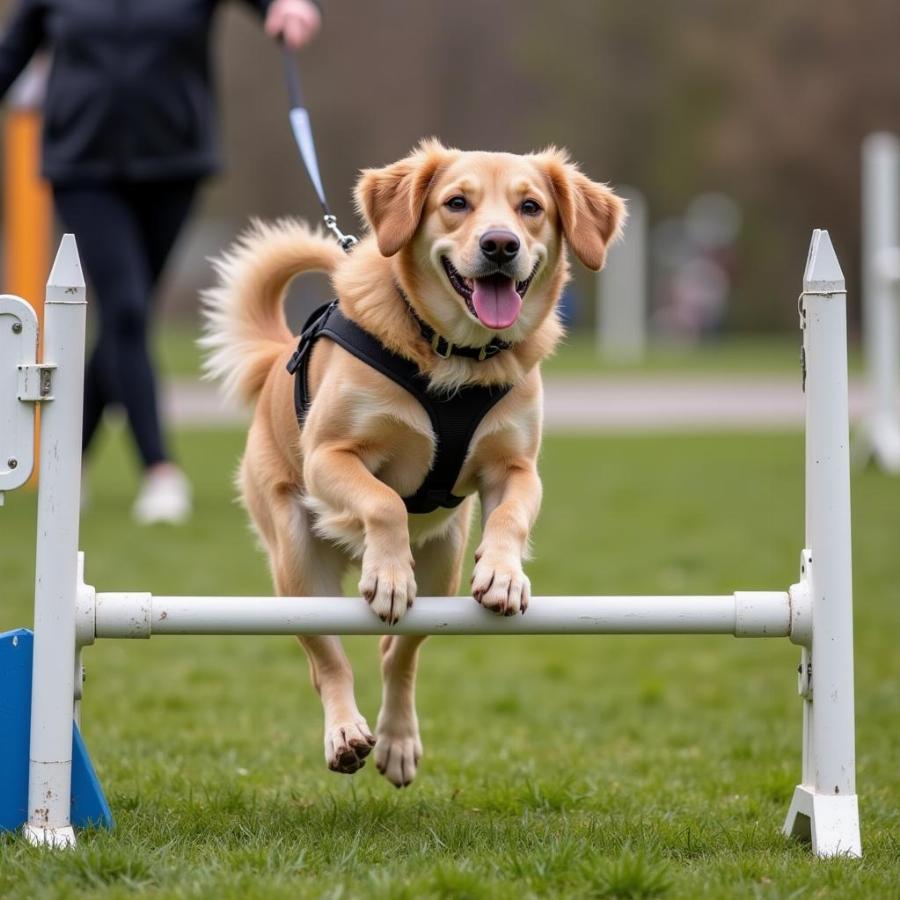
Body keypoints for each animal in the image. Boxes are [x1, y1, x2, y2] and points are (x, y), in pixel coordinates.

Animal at [200, 139, 624, 788]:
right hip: (295, 564)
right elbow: (384, 501)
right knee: (327, 658)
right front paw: (389, 573)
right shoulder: (330, 456)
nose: (500, 245)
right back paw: (346, 731)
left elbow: (511, 517)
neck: (457, 355)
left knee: (398, 654)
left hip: (442, 568)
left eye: (530, 207)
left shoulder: (516, 468)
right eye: (456, 203)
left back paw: (397, 741)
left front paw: (504, 575)